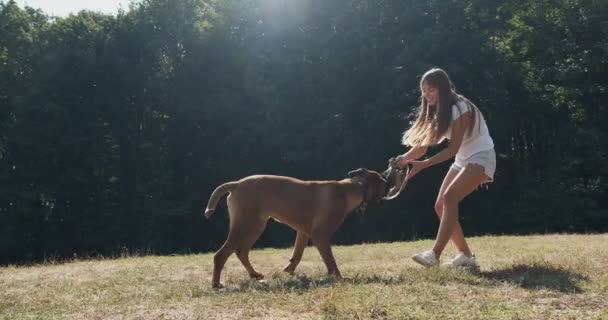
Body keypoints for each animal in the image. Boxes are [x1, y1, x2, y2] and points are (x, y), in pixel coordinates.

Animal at [203, 169, 384, 288]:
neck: (352, 189)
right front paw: (339, 278)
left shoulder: (303, 232)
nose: (389, 185)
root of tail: (237, 183)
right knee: (221, 255)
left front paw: (289, 270)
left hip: (255, 226)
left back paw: (254, 275)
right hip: (246, 225)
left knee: (241, 252)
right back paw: (217, 284)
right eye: (382, 181)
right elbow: (330, 260)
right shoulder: (320, 234)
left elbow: (297, 254)